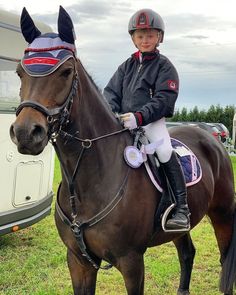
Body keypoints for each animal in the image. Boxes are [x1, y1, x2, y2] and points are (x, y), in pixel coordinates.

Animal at [10, 6, 236, 295]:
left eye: (66, 72)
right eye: (19, 72)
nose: (26, 133)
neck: (86, 184)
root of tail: (212, 137)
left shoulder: (131, 261)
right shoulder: (78, 261)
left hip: (223, 214)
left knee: (225, 261)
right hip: (180, 228)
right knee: (187, 253)